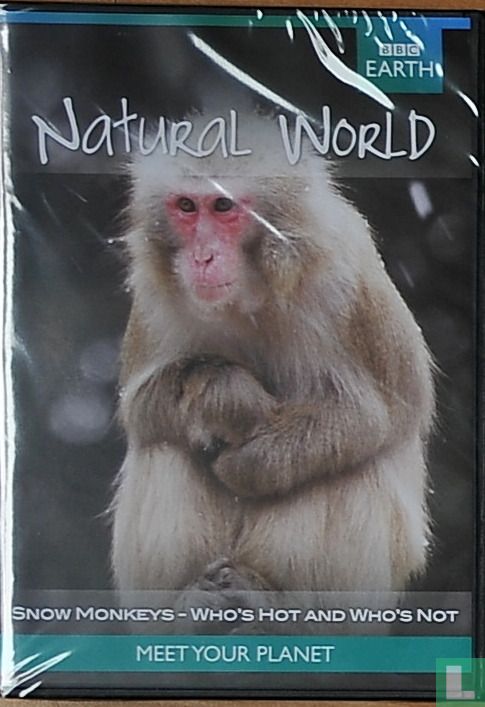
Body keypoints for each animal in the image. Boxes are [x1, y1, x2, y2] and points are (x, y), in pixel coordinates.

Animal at [111, 112, 434, 616]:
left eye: (223, 206)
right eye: (186, 206)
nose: (203, 257)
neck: (253, 294)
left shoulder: (345, 279)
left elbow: (378, 416)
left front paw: (245, 463)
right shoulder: (153, 298)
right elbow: (140, 407)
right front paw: (224, 395)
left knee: (345, 467)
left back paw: (275, 602)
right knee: (166, 445)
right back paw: (188, 609)